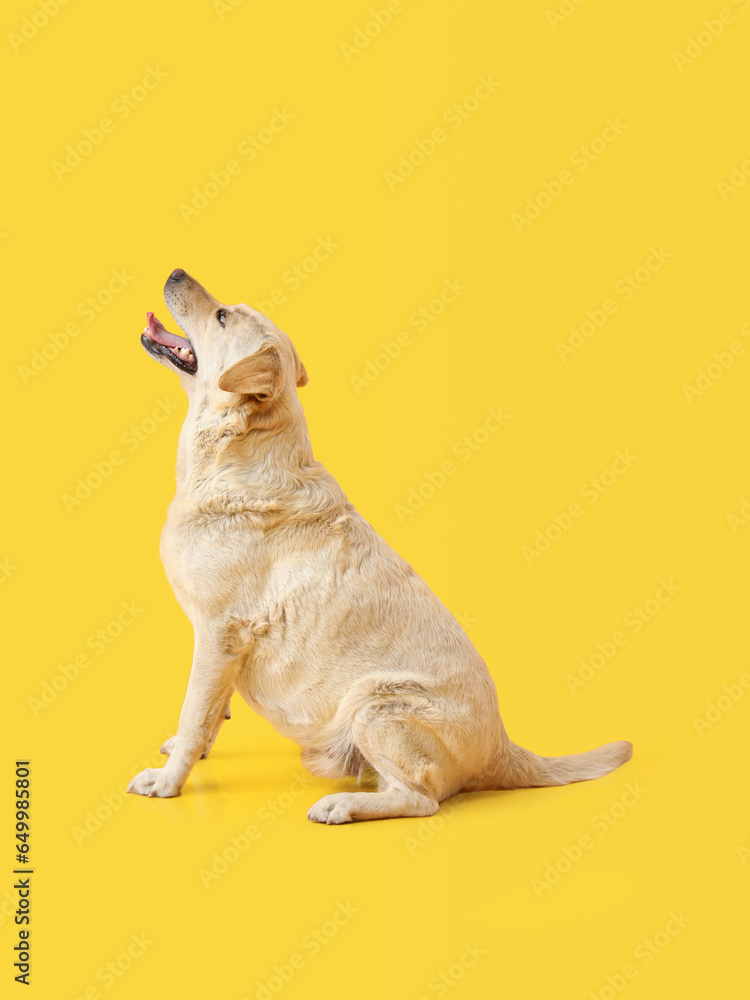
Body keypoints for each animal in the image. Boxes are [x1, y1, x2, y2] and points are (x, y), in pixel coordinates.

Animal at [129, 270, 636, 824]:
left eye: (222, 316)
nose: (176, 272)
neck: (233, 454)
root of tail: (502, 747)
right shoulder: (218, 646)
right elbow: (209, 715)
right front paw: (190, 750)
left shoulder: (219, 634)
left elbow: (194, 713)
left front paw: (167, 779)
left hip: (375, 704)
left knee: (421, 799)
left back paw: (343, 805)